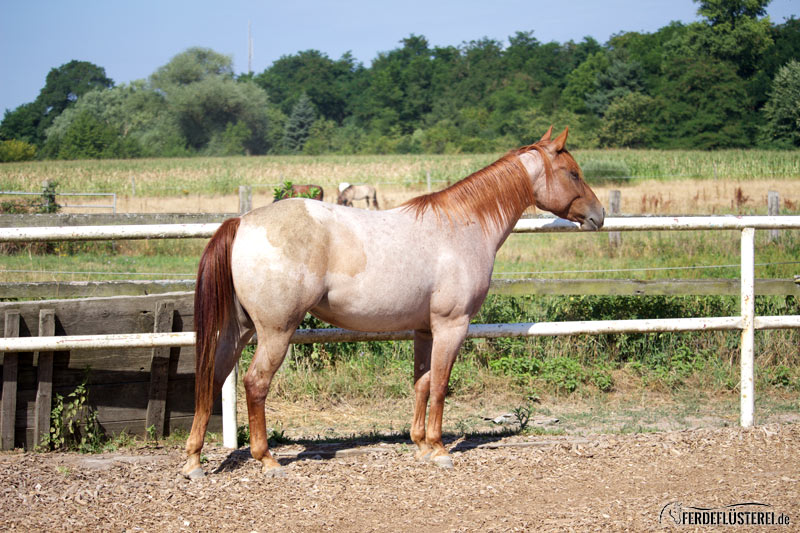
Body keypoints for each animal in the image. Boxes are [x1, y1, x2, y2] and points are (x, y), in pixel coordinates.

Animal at [184, 125, 604, 478]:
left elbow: (422, 383)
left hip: (239, 330)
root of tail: (242, 222)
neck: (460, 226)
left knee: (212, 376)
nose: (599, 215)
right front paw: (439, 449)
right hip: (275, 332)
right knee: (255, 383)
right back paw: (267, 459)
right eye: (573, 173)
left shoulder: (424, 330)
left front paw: (421, 445)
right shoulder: (452, 326)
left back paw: (194, 461)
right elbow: (441, 384)